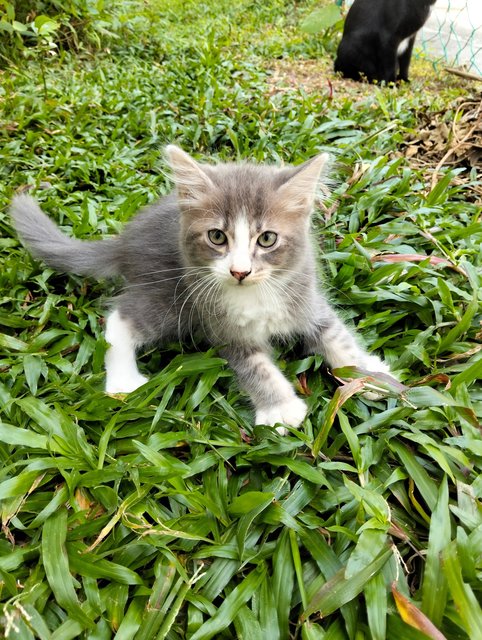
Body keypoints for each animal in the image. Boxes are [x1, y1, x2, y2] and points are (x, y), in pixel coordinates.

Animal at [10, 148, 392, 432]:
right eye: (217, 237)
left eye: (267, 239)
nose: (240, 271)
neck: (255, 293)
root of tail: (124, 243)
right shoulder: (222, 328)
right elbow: (256, 367)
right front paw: (280, 407)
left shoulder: (306, 298)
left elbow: (337, 337)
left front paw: (369, 376)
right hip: (171, 298)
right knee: (122, 316)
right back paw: (122, 381)